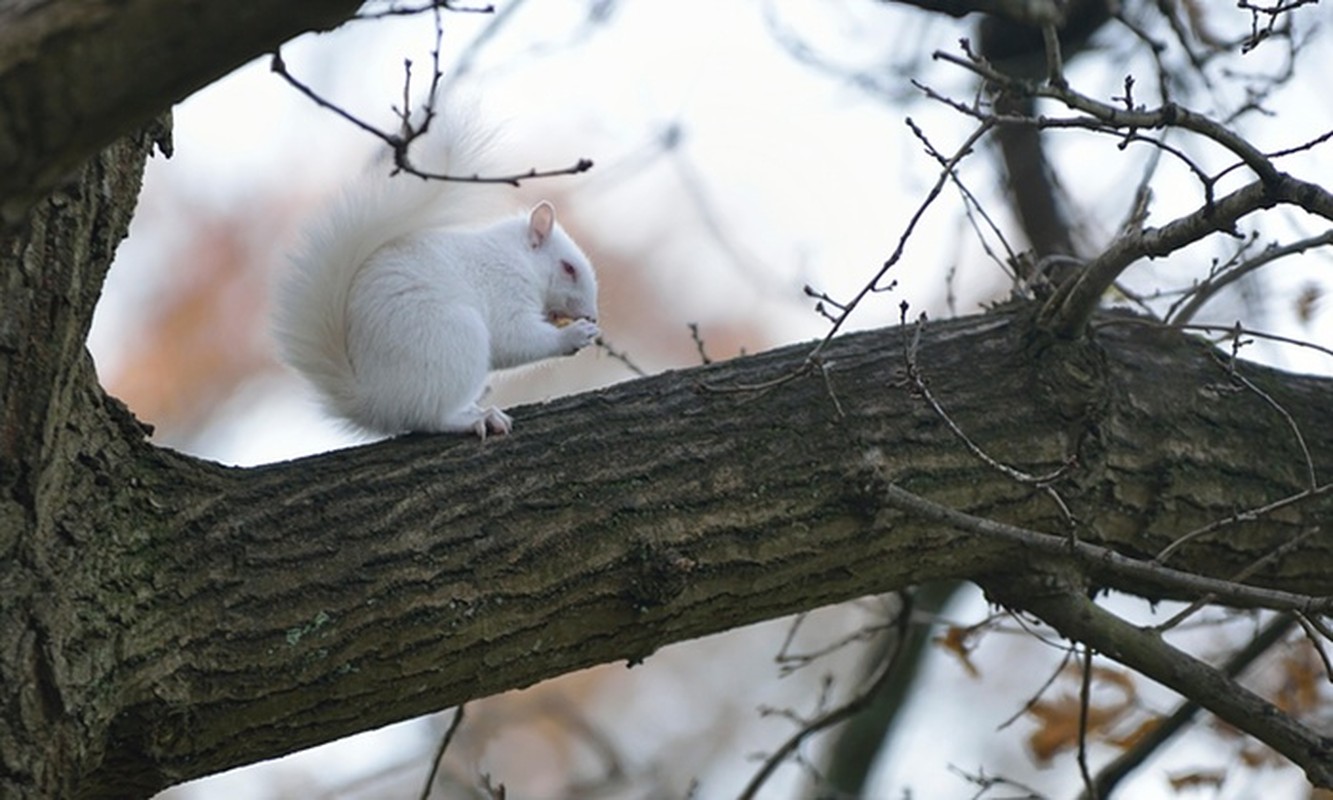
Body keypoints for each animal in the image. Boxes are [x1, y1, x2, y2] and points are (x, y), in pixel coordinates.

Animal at [270, 118, 599, 437]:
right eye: (568, 268)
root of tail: (377, 402)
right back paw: (476, 419)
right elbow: (515, 338)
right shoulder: (505, 289)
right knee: (428, 417)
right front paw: (574, 334)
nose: (592, 316)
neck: (519, 259)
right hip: (454, 340)